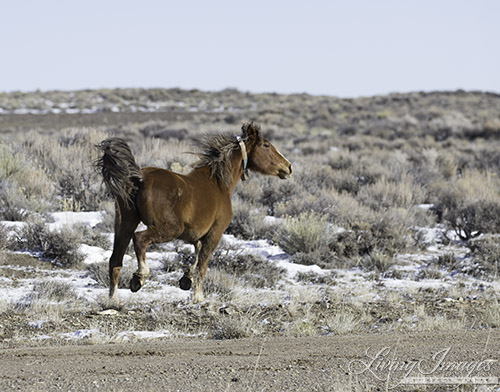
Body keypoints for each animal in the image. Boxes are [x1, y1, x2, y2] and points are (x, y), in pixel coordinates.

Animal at [95, 122, 292, 304]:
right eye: (266, 145)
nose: (288, 167)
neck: (219, 183)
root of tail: (138, 178)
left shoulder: (198, 236)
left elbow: (196, 258)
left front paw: (186, 280)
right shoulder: (215, 233)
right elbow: (202, 266)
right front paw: (198, 297)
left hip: (125, 225)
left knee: (115, 261)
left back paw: (113, 300)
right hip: (169, 228)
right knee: (140, 239)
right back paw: (139, 278)